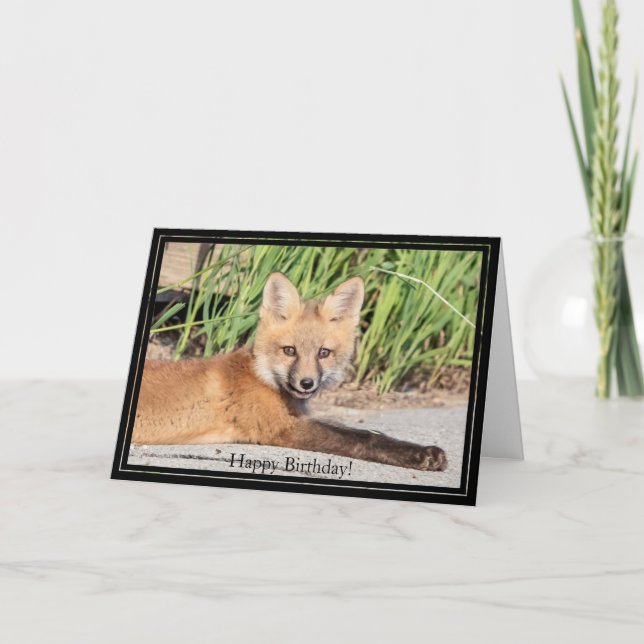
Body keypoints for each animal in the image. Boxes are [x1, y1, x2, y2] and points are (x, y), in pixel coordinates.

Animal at [132, 272, 447, 472]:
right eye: (289, 350)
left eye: (323, 353)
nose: (307, 383)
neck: (262, 377)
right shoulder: (282, 428)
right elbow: (363, 438)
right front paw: (421, 454)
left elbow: (365, 430)